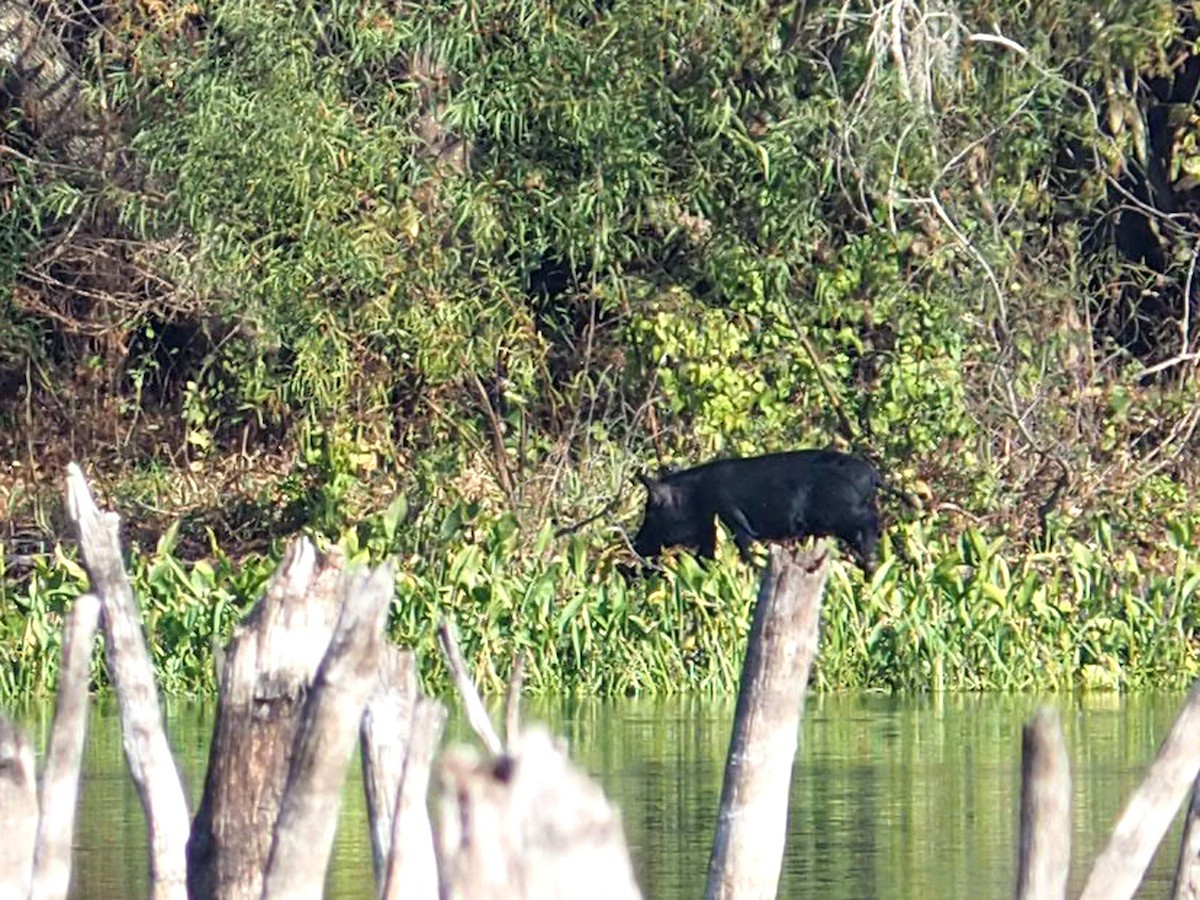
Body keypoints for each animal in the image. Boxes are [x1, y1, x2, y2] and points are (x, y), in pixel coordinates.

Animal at [631, 449, 883, 570]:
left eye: (651, 512)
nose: (635, 545)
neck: (695, 499)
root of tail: (873, 475)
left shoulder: (735, 523)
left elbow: (744, 550)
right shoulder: (710, 537)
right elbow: (702, 559)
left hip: (841, 515)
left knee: (871, 520)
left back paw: (870, 561)